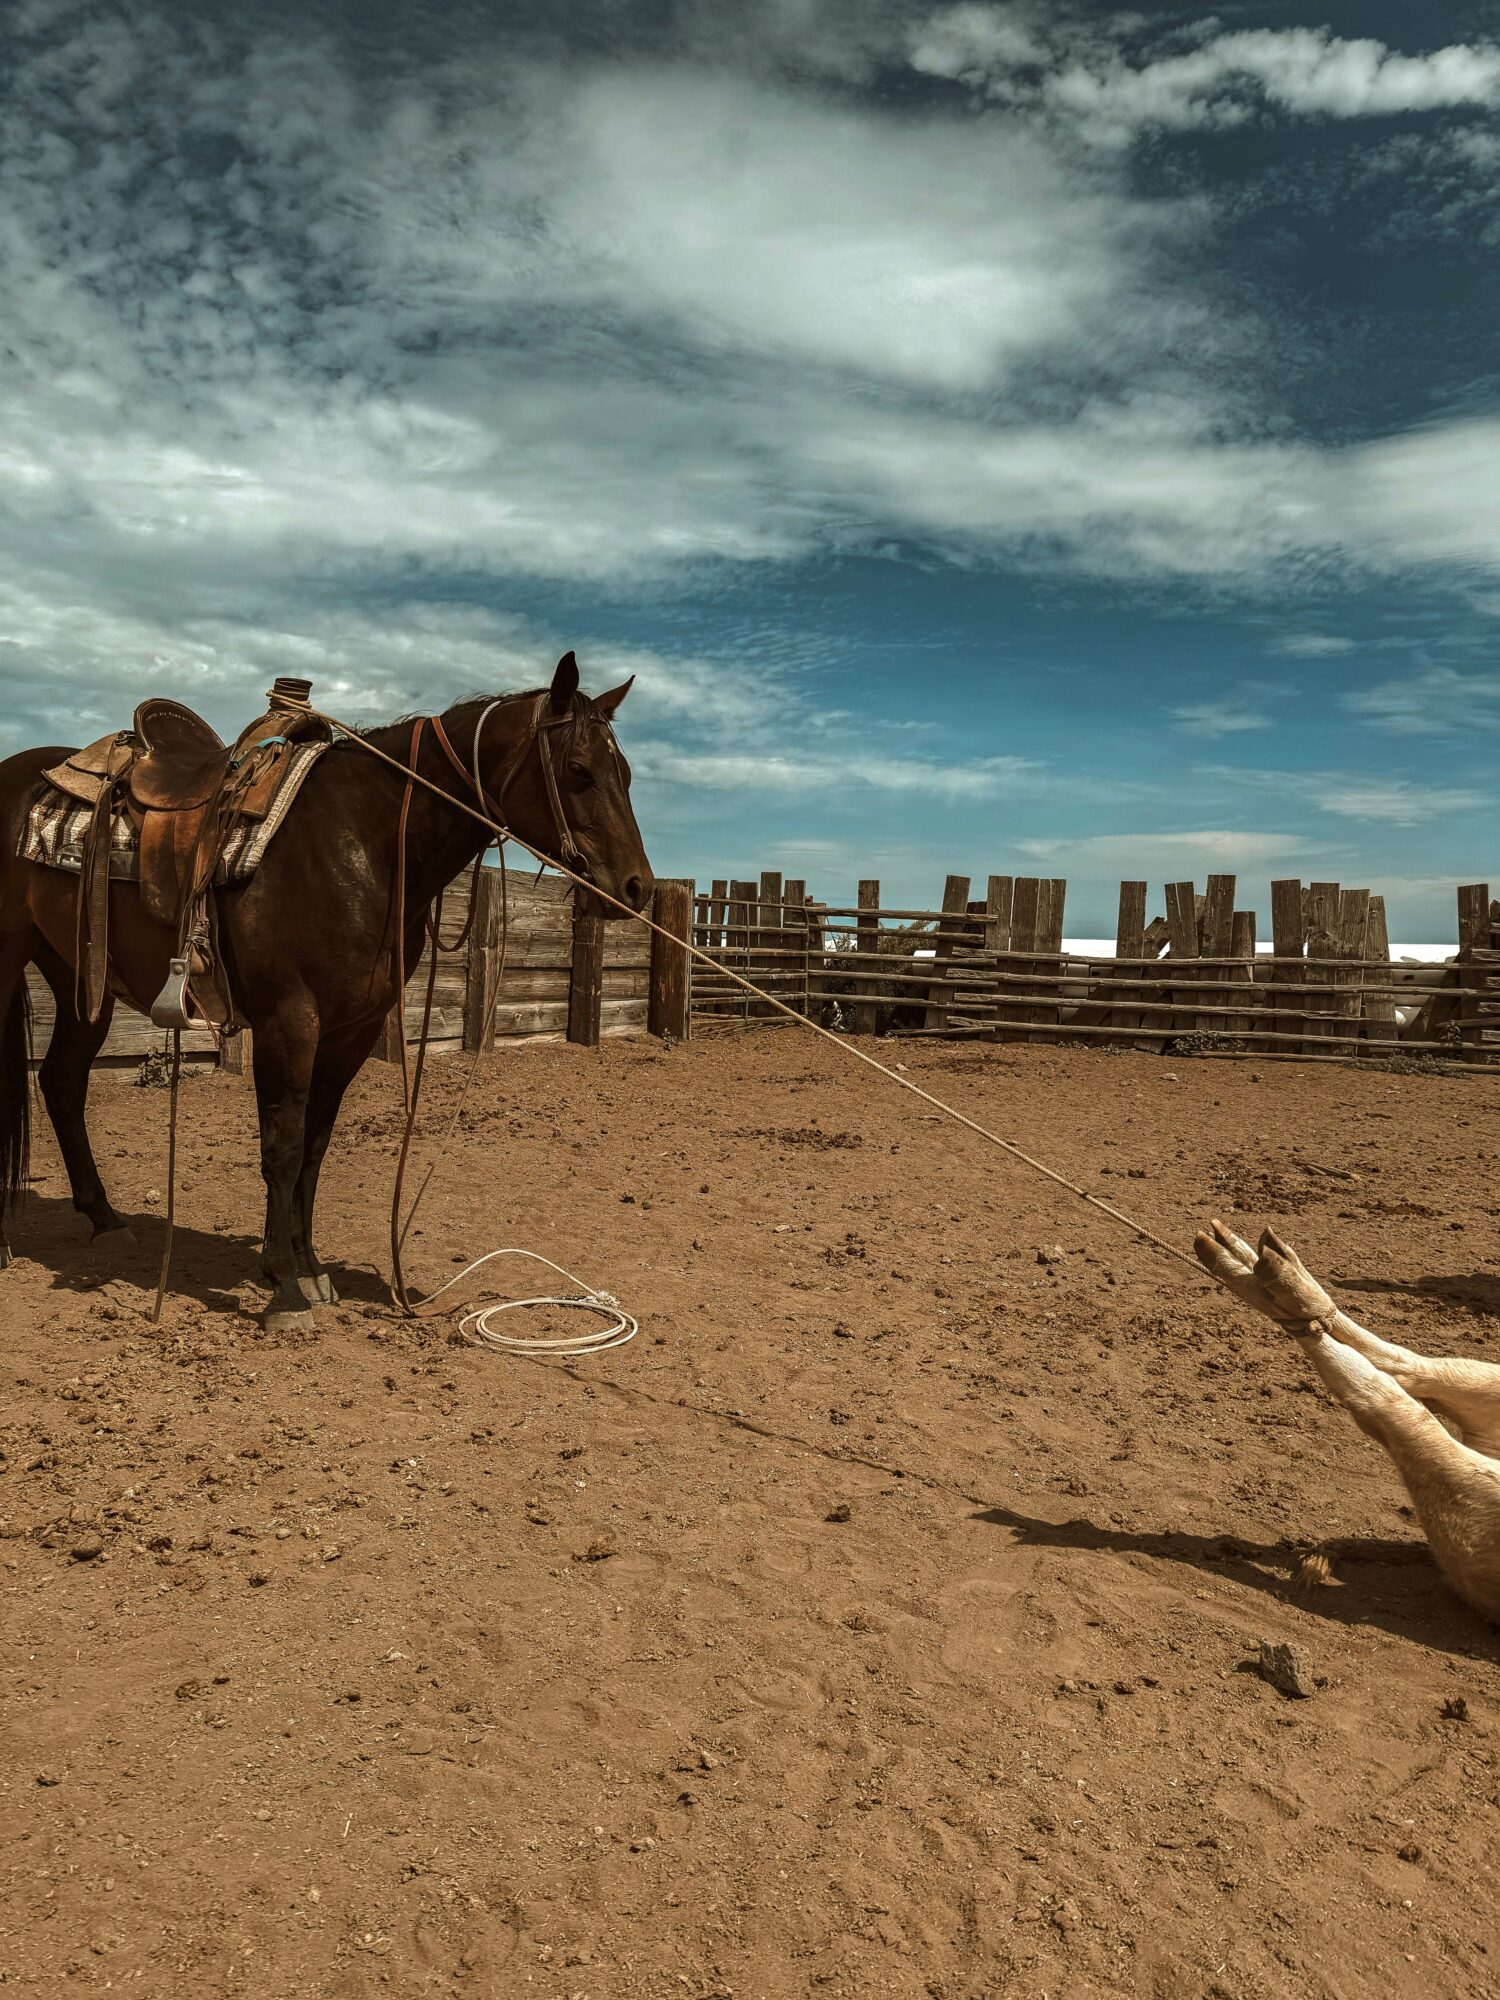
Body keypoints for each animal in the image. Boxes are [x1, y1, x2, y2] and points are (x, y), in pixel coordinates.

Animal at [0, 652, 654, 1330]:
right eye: (579, 771)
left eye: (627, 773)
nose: (637, 888)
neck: (365, 840)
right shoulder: (290, 1020)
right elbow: (283, 1148)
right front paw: (285, 1288)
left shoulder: (350, 1031)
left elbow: (314, 1146)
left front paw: (308, 1267)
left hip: (81, 976)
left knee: (62, 1082)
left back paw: (105, 1220)